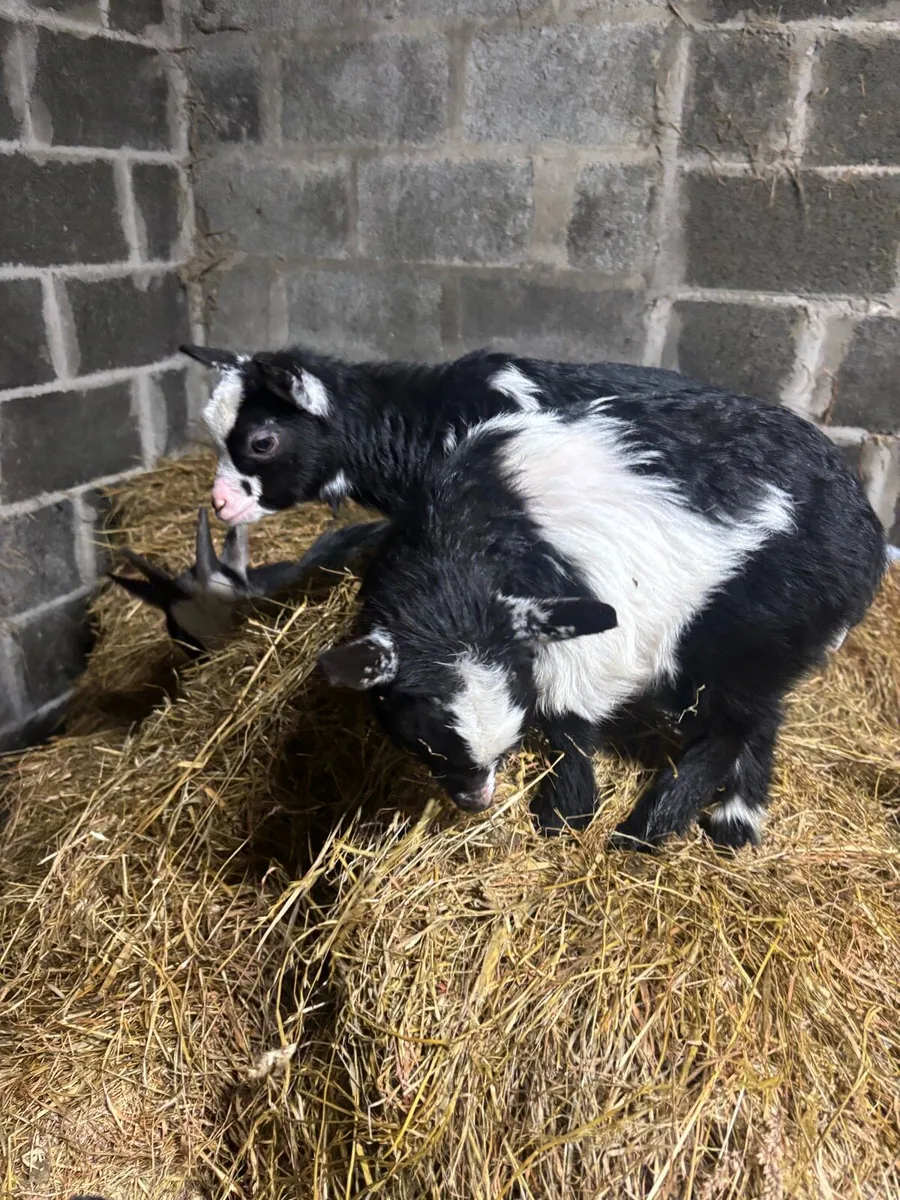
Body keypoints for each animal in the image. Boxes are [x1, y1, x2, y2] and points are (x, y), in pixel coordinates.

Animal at [317, 394, 887, 850]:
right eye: (421, 737)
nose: (476, 799)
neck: (462, 540)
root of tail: (867, 535)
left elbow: (565, 712)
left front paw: (564, 815)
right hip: (770, 642)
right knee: (763, 715)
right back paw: (735, 820)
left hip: (744, 623)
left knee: (732, 724)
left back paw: (649, 828)